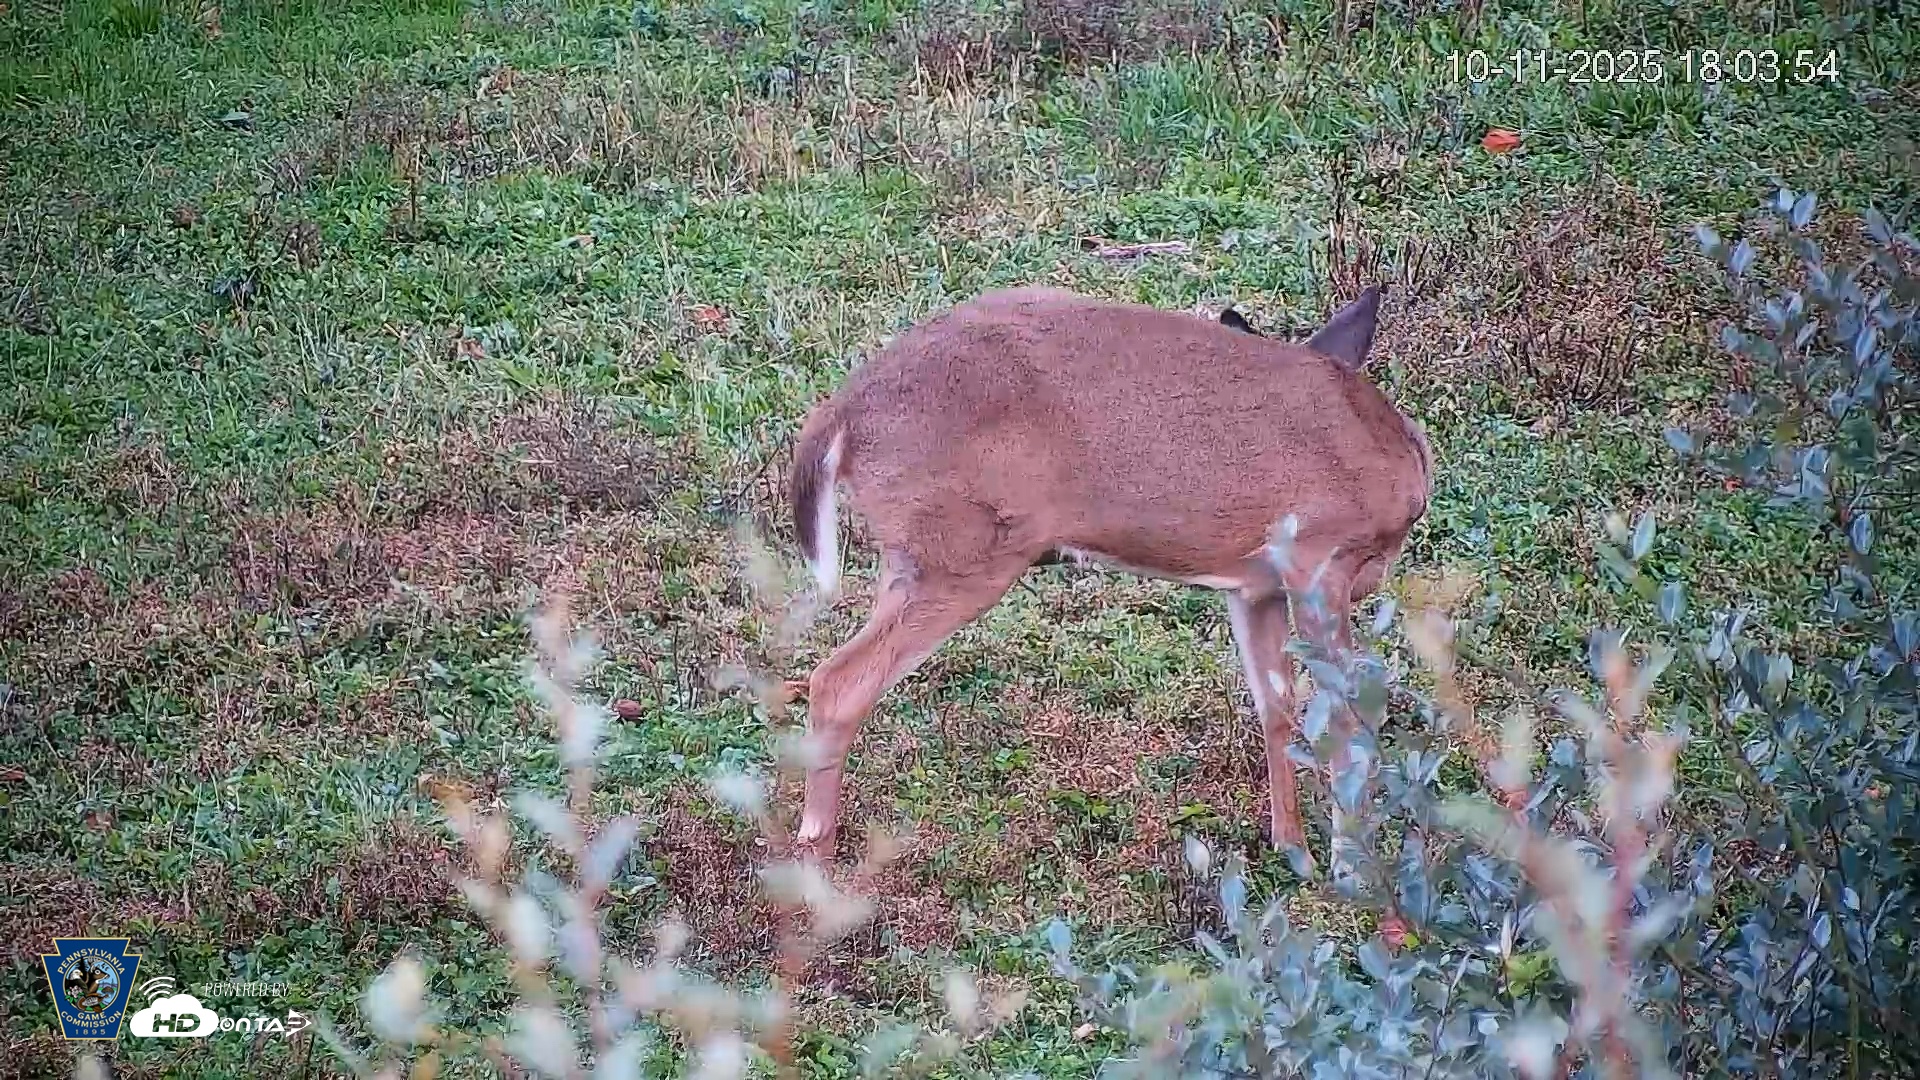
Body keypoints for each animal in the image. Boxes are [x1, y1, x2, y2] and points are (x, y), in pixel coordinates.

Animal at [781, 284, 1433, 861]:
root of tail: (843, 414)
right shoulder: (1320, 558)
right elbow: (1348, 717)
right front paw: (1352, 872)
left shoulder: (1255, 587)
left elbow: (1276, 707)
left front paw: (1293, 850)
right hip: (964, 553)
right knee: (838, 681)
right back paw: (815, 862)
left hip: (914, 558)